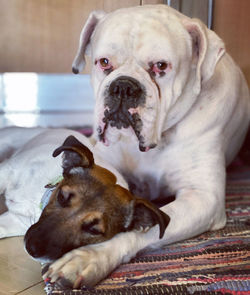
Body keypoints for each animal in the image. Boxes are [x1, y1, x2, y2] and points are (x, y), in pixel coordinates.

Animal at [42, 3, 249, 288]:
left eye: (161, 66)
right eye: (104, 62)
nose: (123, 86)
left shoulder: (203, 198)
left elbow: (144, 230)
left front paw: (89, 256)